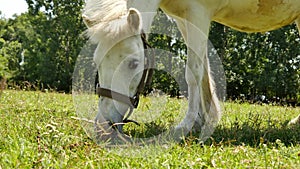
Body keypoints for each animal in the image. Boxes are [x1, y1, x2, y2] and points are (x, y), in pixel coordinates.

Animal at [83, 0, 300, 143]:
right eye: (96, 61)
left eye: (133, 63)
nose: (103, 126)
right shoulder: (184, 18)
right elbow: (203, 70)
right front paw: (202, 120)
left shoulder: (198, 13)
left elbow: (192, 72)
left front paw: (185, 125)